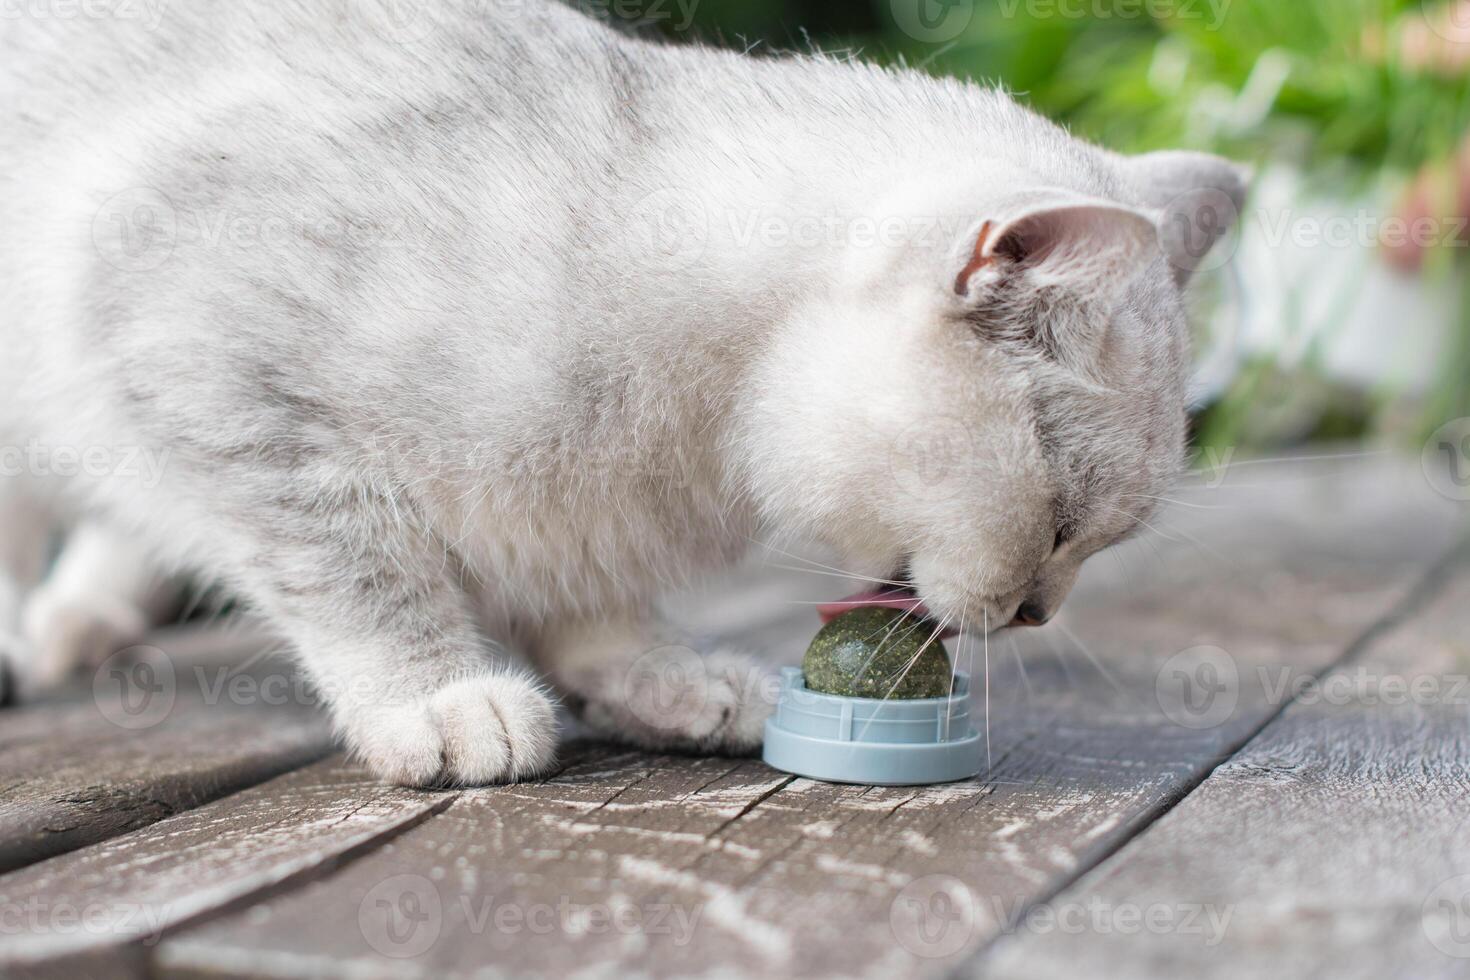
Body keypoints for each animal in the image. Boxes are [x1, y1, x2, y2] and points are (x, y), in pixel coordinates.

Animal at [0, 0, 1240, 781]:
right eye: (1061, 521)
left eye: (1094, 544)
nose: (1040, 612)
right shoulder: (201, 345)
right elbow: (359, 568)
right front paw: (437, 698)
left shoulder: (567, 502)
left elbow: (579, 598)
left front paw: (658, 678)